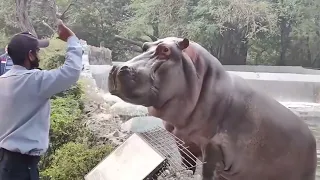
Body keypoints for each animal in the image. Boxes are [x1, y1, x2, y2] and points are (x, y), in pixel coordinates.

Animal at [108, 37, 318, 179]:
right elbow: (187, 165)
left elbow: (207, 173)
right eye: (145, 46)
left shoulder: (214, 149)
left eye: (165, 50)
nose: (117, 68)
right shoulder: (182, 140)